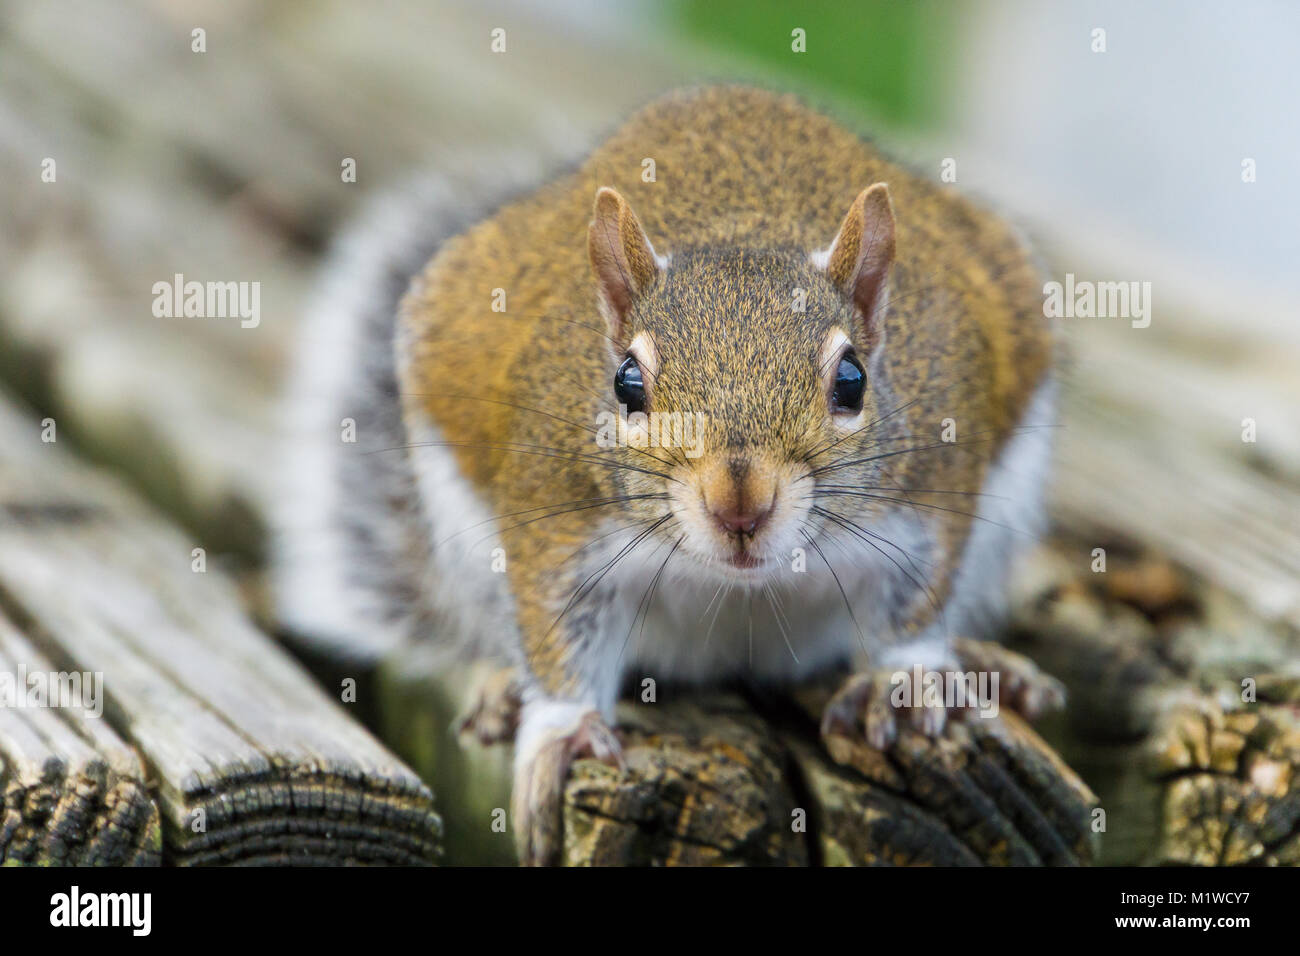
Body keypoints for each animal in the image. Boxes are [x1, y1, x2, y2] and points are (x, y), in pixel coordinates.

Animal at [271, 87, 1066, 868]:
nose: (739, 505)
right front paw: (562, 732)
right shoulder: (556, 515)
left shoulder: (928, 495)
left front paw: (902, 681)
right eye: (627, 383)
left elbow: (914, 600)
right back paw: (498, 688)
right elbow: (556, 627)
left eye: (852, 380)